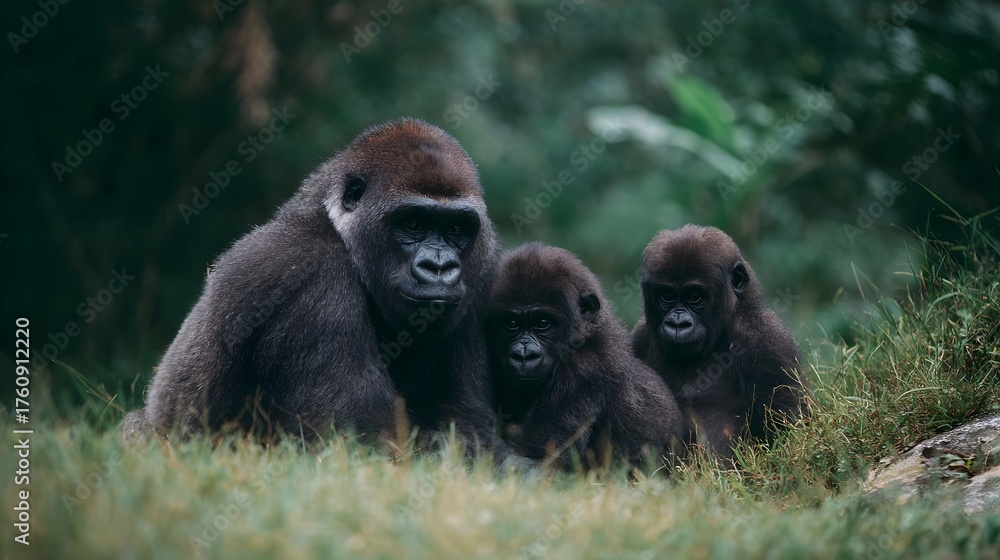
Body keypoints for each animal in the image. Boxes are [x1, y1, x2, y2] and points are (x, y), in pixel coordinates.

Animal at [123, 118, 507, 461]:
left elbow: (465, 424)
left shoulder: (484, 269)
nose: (440, 267)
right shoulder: (314, 276)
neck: (339, 231)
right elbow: (363, 445)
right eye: (413, 223)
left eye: (456, 228)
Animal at [631, 225, 809, 461]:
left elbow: (791, 437)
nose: (678, 324)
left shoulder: (768, 343)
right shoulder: (639, 337)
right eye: (667, 295)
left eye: (695, 297)